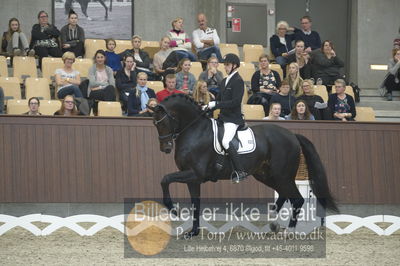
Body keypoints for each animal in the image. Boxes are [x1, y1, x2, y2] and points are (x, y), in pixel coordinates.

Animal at [150, 94, 338, 237]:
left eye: (163, 122)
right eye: (154, 124)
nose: (166, 148)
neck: (195, 130)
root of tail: (292, 135)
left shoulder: (195, 174)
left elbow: (165, 179)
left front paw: (172, 209)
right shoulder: (192, 178)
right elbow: (195, 203)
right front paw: (193, 232)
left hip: (282, 175)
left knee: (297, 199)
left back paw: (289, 231)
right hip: (266, 175)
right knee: (284, 195)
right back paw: (274, 223)